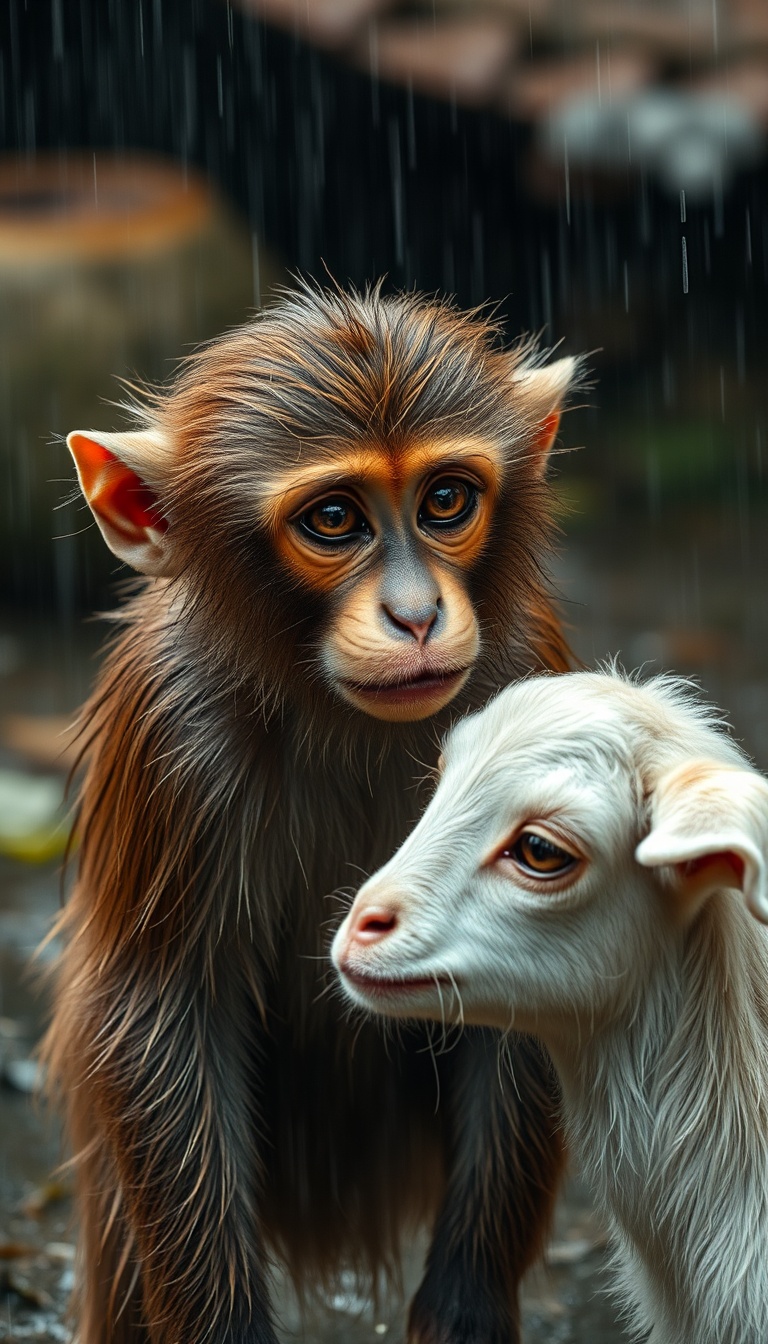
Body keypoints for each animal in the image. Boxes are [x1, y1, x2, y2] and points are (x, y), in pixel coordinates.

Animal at [47, 282, 581, 1344]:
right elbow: (164, 1015)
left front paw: (465, 1300)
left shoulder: (530, 674)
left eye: (445, 500)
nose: (416, 614)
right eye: (335, 519)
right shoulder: (169, 730)